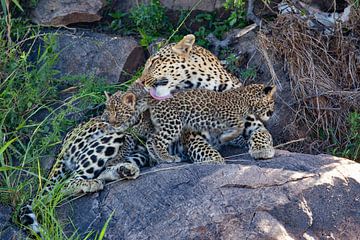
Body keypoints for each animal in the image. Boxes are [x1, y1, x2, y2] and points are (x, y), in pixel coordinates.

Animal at [19, 117, 150, 235]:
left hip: (138, 154)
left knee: (102, 172)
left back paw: (126, 170)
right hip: (109, 138)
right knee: (62, 185)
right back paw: (91, 183)